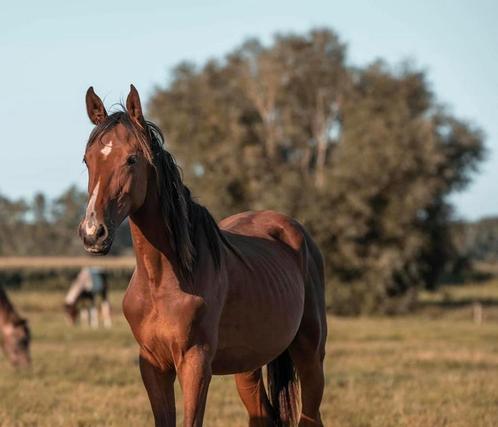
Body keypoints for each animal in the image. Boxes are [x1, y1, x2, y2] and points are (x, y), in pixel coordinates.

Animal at [78, 85, 326, 426]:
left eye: (131, 159)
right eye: (87, 160)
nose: (93, 233)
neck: (164, 279)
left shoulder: (195, 364)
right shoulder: (153, 365)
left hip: (311, 355)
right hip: (248, 368)